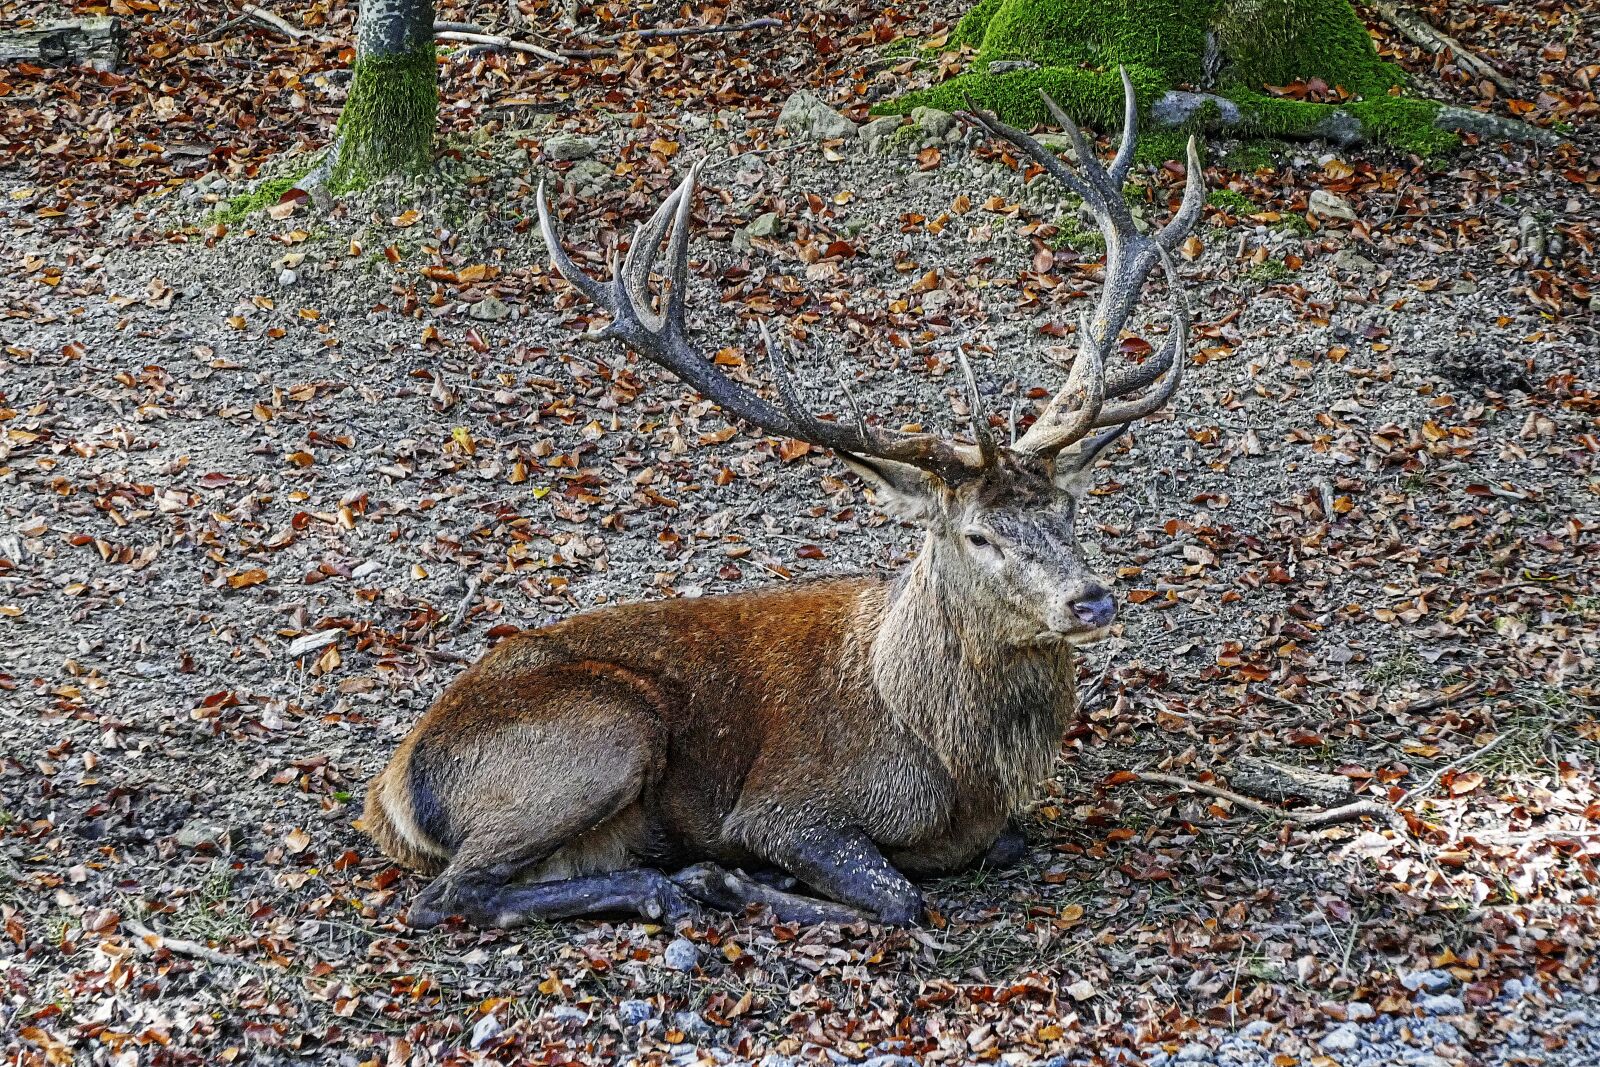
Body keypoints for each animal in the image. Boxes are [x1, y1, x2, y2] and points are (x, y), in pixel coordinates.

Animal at [361, 74, 1204, 928]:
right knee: (449, 892)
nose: (1090, 599)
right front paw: (740, 877)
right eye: (978, 534)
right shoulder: (787, 804)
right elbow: (897, 895)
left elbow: (1002, 844)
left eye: (1065, 509)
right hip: (605, 728)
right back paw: (675, 883)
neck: (953, 765)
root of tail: (391, 791)